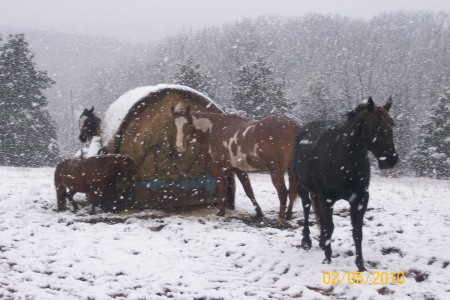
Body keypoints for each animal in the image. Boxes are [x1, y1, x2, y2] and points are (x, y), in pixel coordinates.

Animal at [171, 104, 300, 221]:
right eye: (174, 125)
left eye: (187, 124)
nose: (179, 146)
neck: (215, 130)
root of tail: (292, 125)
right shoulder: (237, 169)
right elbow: (248, 191)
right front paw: (259, 212)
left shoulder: (219, 169)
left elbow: (222, 189)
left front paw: (221, 212)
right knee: (291, 192)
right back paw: (288, 215)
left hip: (276, 171)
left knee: (283, 192)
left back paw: (281, 219)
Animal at [294, 97, 400, 270]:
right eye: (375, 125)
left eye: (391, 124)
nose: (390, 159)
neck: (346, 159)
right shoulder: (327, 198)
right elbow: (330, 226)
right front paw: (327, 259)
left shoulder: (360, 199)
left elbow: (357, 231)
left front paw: (361, 265)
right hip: (301, 187)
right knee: (306, 208)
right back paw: (307, 241)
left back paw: (321, 243)